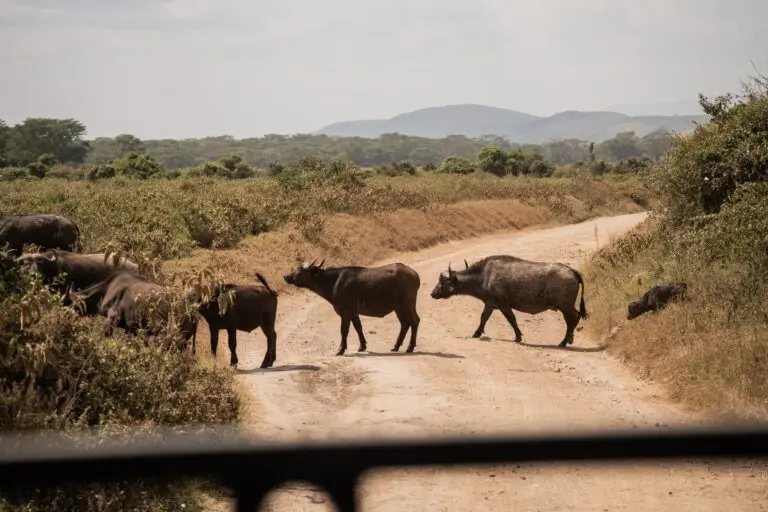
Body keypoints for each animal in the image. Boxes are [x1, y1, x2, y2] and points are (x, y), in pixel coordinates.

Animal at [283, 259, 421, 355]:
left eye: (300, 270)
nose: (286, 277)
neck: (334, 283)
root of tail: (415, 274)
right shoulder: (354, 313)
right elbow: (358, 327)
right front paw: (362, 346)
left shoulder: (346, 312)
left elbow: (344, 331)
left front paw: (340, 350)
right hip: (399, 307)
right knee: (405, 324)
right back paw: (396, 346)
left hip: (408, 303)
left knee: (414, 321)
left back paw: (410, 347)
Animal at [430, 255, 588, 347]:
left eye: (442, 281)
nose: (433, 293)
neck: (485, 276)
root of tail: (572, 271)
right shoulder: (489, 304)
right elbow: (483, 318)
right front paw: (476, 333)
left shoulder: (504, 304)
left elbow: (511, 319)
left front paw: (518, 337)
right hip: (565, 307)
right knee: (574, 318)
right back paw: (568, 340)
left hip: (565, 306)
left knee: (573, 318)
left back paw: (564, 341)